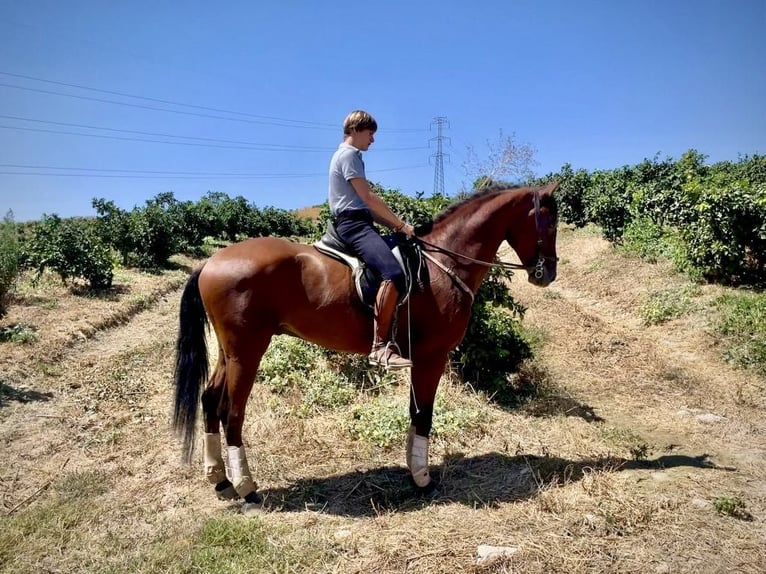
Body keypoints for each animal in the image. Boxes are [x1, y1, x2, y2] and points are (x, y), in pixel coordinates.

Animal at [172, 182, 560, 516]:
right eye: (551, 223)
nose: (547, 274)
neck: (444, 264)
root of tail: (210, 263)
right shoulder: (432, 357)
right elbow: (424, 415)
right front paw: (423, 479)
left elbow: (414, 413)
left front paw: (413, 468)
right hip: (248, 351)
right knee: (232, 413)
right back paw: (248, 490)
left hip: (231, 352)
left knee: (210, 400)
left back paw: (221, 481)